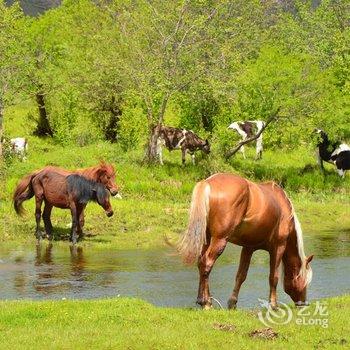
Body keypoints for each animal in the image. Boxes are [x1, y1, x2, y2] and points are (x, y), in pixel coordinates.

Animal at [179, 173, 314, 308]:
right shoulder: (278, 247)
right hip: (219, 240)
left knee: (201, 262)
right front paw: (273, 305)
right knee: (207, 263)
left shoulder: (248, 248)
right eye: (305, 280)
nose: (303, 303)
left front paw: (232, 303)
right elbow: (273, 277)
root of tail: (208, 182)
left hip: (206, 238)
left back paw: (203, 301)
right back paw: (206, 303)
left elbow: (241, 275)